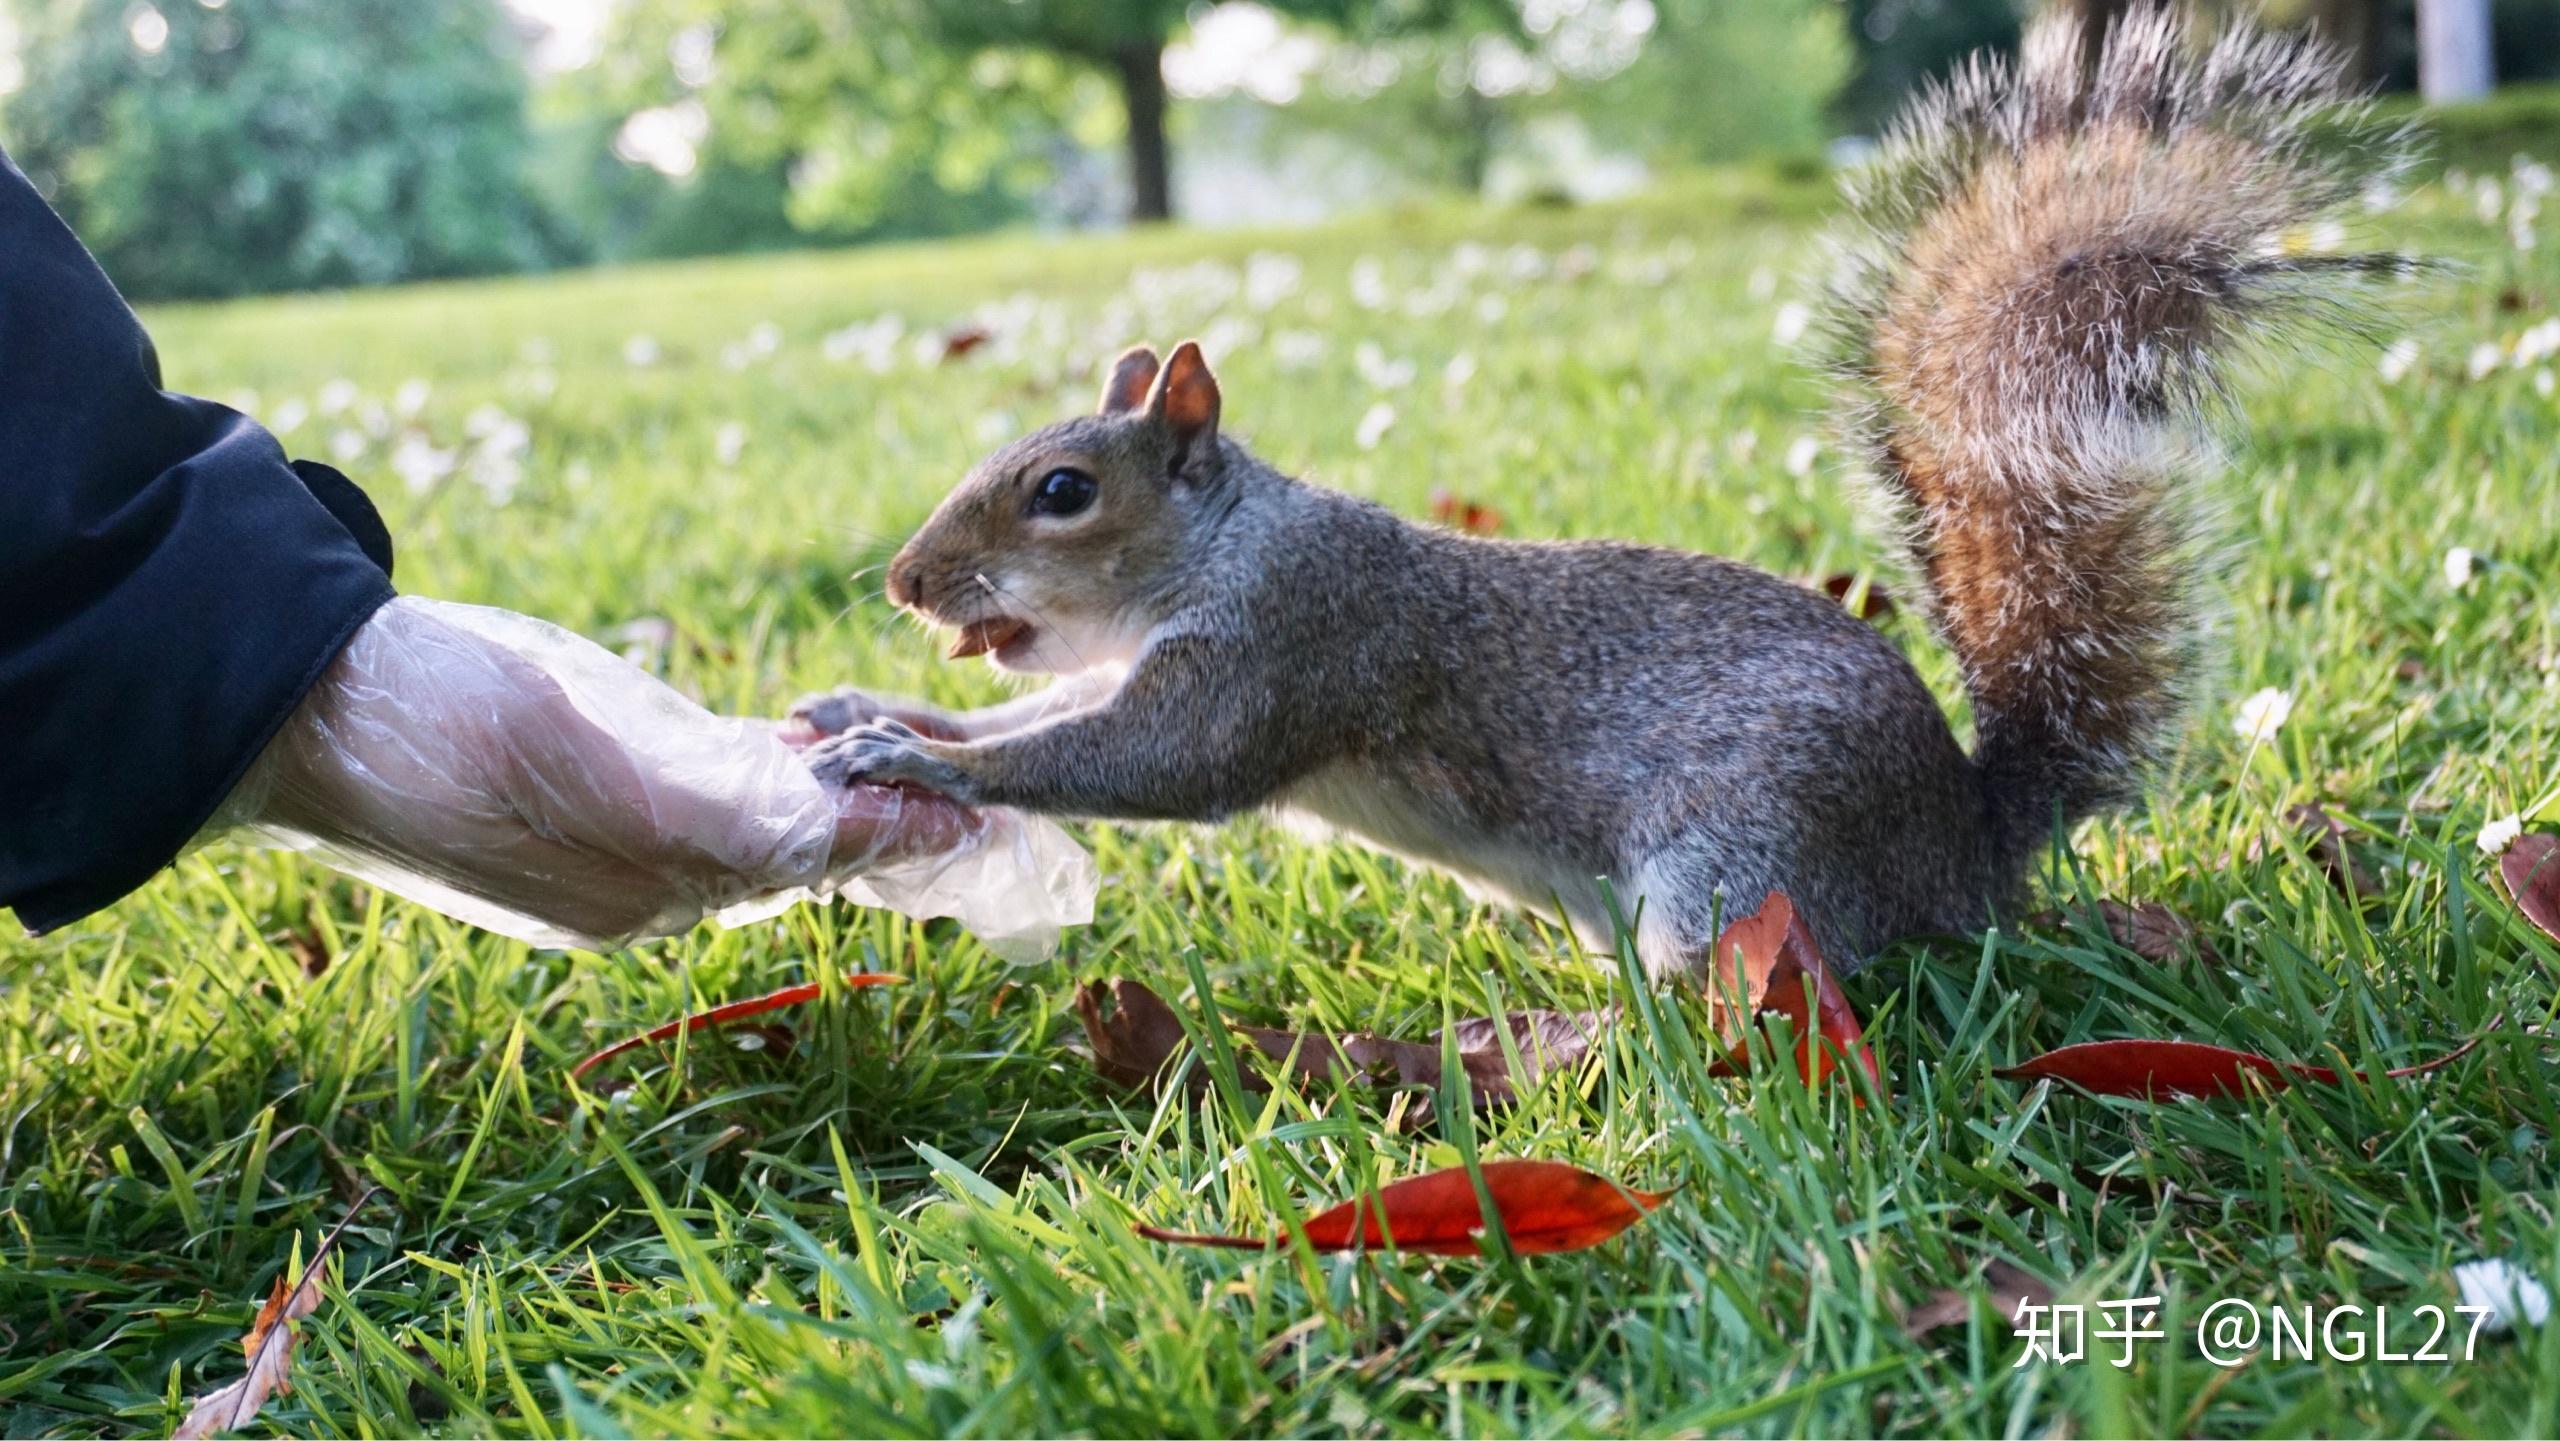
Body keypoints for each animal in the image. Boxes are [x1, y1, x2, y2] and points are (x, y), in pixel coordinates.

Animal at [808, 5, 2406, 977]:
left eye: (1061, 489)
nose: (902, 583)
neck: (1222, 546)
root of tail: (1963, 852)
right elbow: (1043, 713)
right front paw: (878, 714)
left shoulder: (1297, 640)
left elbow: (1145, 762)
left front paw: (924, 766)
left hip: (1744, 863)